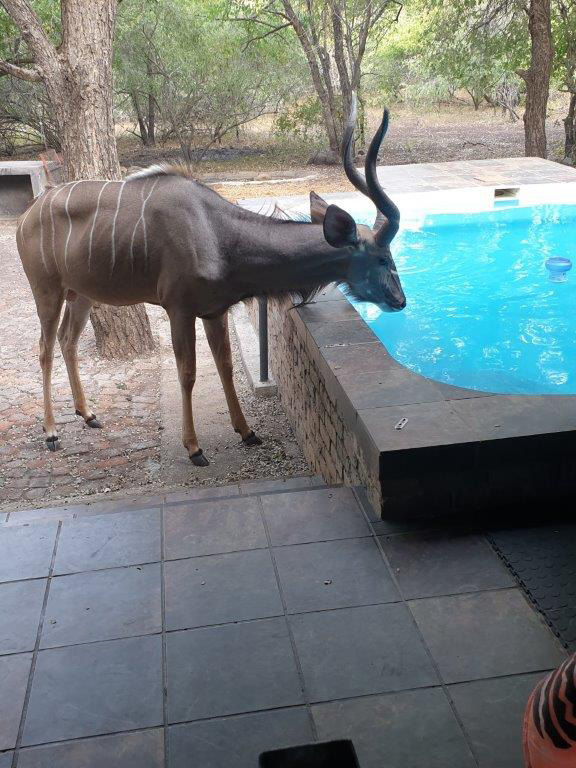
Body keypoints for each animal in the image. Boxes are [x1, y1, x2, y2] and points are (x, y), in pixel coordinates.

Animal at [16, 97, 405, 465]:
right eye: (383, 257)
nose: (400, 301)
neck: (218, 234)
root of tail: (27, 215)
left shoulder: (215, 311)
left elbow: (226, 367)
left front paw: (248, 432)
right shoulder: (179, 309)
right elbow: (187, 373)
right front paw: (194, 448)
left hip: (80, 295)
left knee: (67, 341)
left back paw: (88, 414)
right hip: (46, 291)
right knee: (44, 349)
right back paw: (51, 433)